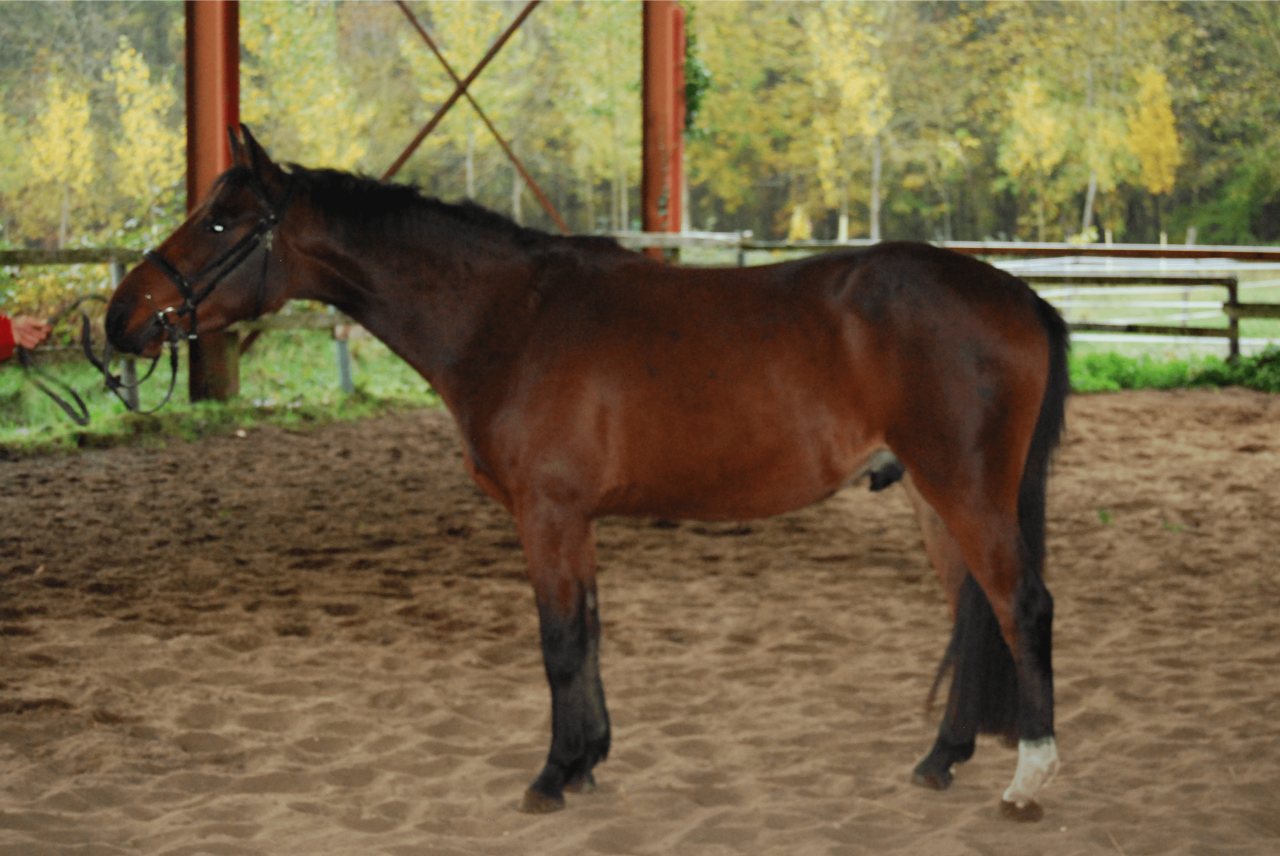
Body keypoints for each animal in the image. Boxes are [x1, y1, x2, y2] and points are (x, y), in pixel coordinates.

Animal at [104, 126, 1068, 820]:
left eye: (221, 221)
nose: (120, 318)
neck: (508, 317)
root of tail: (1017, 295)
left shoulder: (548, 513)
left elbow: (561, 643)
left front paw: (553, 775)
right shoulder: (577, 522)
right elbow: (591, 635)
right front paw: (588, 763)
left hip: (966, 491)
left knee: (1022, 607)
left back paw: (1030, 780)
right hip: (934, 501)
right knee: (972, 611)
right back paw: (941, 760)